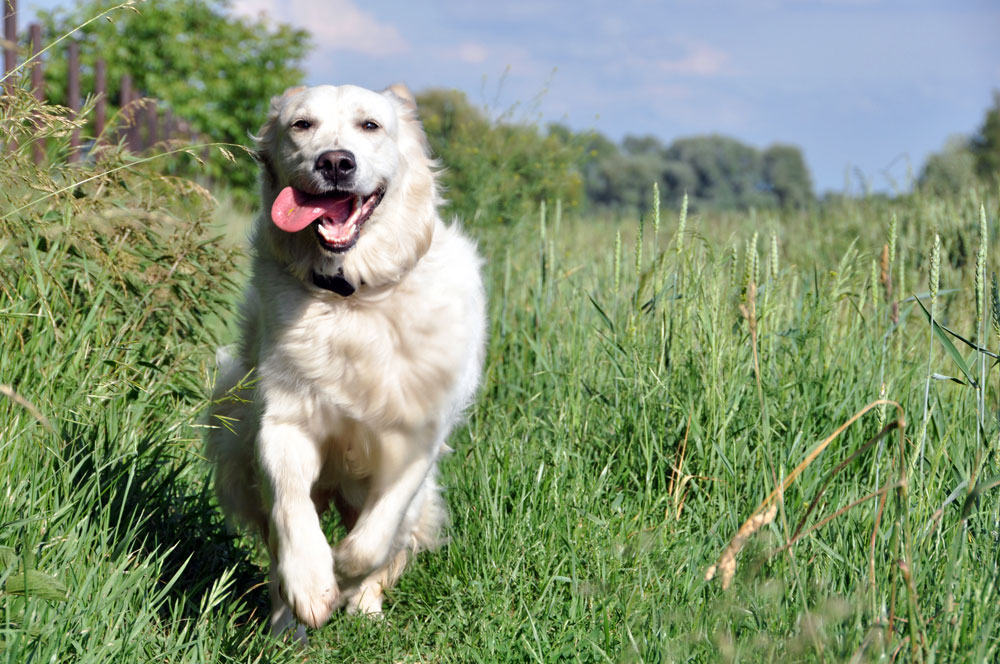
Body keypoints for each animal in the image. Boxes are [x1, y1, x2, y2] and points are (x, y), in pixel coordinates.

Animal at [205, 83, 486, 640]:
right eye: (301, 125)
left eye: (370, 125)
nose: (335, 162)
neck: (351, 296)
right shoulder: (283, 421)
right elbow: (292, 510)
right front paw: (314, 586)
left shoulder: (416, 437)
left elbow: (376, 538)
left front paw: (346, 577)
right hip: (235, 445)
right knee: (276, 547)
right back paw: (286, 628)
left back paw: (364, 607)